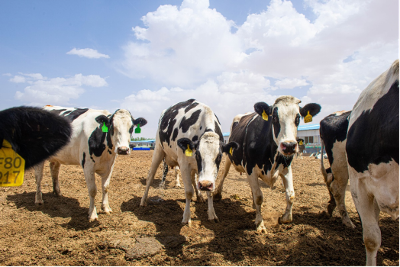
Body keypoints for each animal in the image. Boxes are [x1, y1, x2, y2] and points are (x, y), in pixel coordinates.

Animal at [214, 96, 320, 232]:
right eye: (274, 117)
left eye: (297, 118)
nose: (289, 146)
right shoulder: (250, 168)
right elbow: (259, 196)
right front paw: (260, 224)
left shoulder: (286, 168)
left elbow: (291, 194)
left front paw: (285, 218)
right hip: (229, 157)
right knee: (224, 174)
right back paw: (217, 194)